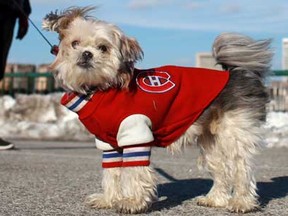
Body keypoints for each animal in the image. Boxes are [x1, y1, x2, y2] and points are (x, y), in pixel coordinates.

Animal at [42, 6, 272, 214]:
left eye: (103, 48)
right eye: (75, 43)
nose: (86, 54)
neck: (100, 90)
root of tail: (234, 72)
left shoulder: (135, 134)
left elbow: (134, 172)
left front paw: (133, 202)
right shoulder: (108, 143)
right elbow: (112, 174)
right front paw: (109, 199)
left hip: (234, 135)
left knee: (241, 169)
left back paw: (242, 203)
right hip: (211, 142)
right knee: (222, 169)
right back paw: (215, 200)